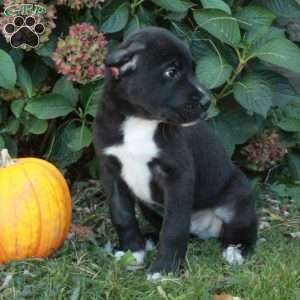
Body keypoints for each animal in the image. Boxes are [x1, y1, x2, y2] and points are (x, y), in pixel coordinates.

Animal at [94, 26, 258, 278]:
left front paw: (164, 269)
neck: (140, 121)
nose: (206, 102)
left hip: (238, 198)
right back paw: (149, 239)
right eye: (171, 72)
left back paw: (236, 250)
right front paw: (133, 251)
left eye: (193, 69)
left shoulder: (177, 176)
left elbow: (173, 229)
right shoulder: (111, 171)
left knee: (244, 230)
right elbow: (122, 216)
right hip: (147, 206)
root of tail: (205, 230)